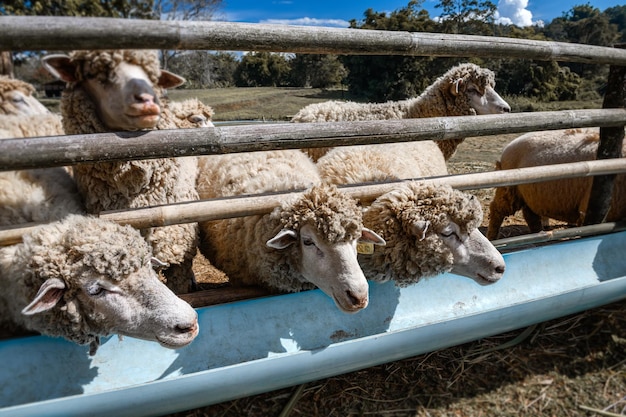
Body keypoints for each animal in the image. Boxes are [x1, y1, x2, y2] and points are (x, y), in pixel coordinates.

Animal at [488, 127, 624, 239]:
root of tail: (509, 145)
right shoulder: (592, 210)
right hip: (510, 189)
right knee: (496, 210)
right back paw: (492, 237)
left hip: (529, 192)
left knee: (530, 214)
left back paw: (539, 233)